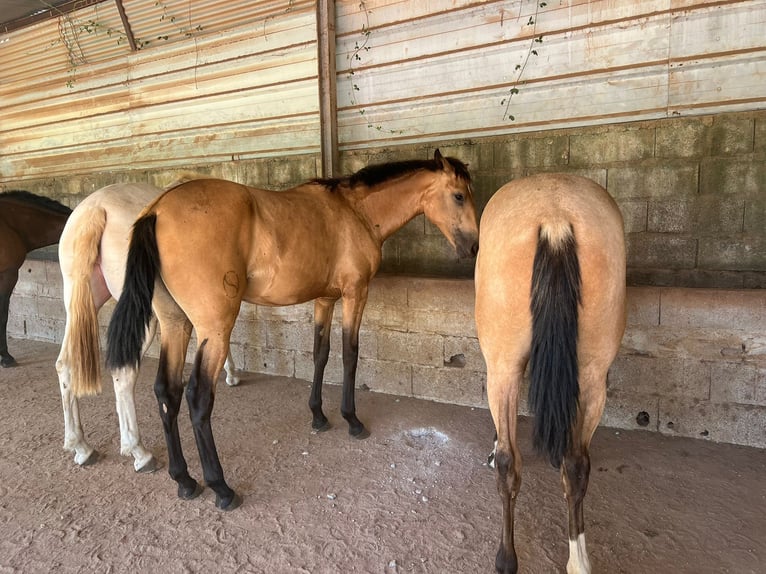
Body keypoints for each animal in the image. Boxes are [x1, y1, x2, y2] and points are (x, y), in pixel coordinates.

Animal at [56, 183, 240, 472]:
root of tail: (96, 209)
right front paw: (231, 374)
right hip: (143, 315)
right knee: (123, 374)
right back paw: (139, 453)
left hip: (79, 302)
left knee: (66, 363)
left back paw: (81, 446)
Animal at [108, 150, 480, 512]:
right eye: (459, 196)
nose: (474, 248)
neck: (354, 211)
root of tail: (157, 210)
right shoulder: (355, 293)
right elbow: (350, 354)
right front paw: (352, 420)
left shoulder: (325, 299)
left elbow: (320, 354)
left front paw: (318, 415)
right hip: (213, 329)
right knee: (197, 397)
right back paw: (221, 488)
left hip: (175, 324)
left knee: (166, 391)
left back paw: (184, 480)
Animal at [476, 174, 628, 574]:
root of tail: (555, 219)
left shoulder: (500, 367)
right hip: (592, 375)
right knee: (576, 465)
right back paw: (578, 560)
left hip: (503, 369)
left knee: (509, 464)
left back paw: (506, 559)